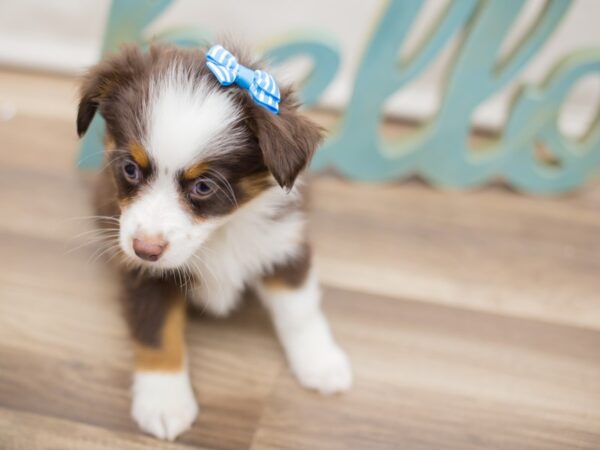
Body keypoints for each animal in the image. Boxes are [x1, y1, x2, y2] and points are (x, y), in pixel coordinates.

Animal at [77, 44, 354, 440]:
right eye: (130, 169)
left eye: (204, 186)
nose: (145, 249)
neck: (219, 232)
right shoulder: (144, 272)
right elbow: (156, 330)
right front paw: (163, 401)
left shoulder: (282, 242)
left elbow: (299, 308)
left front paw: (320, 361)